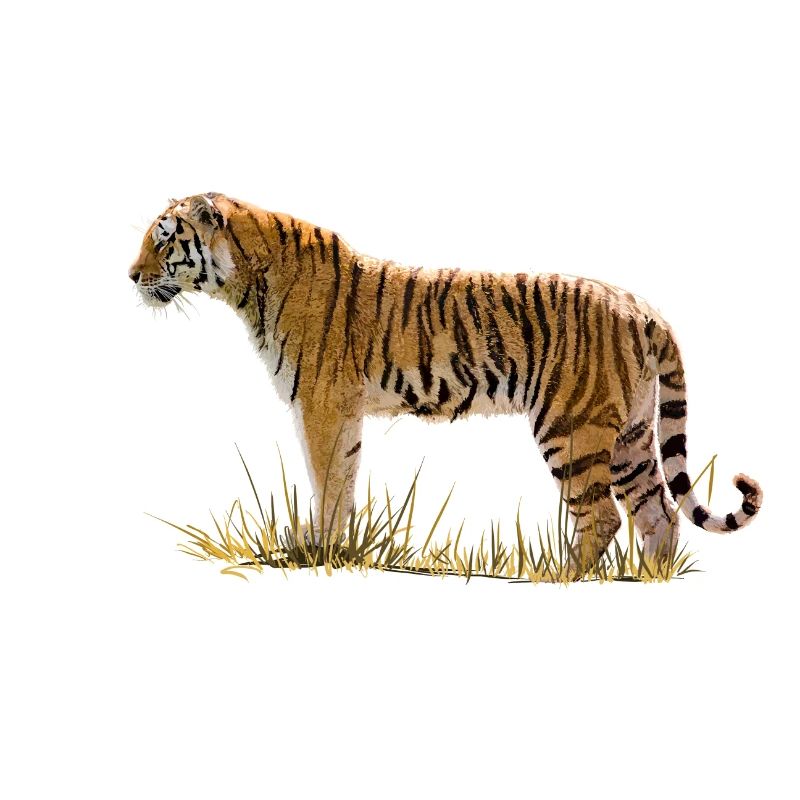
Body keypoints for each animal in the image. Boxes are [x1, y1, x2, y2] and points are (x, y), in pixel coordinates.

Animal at [129, 192, 762, 575]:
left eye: (164, 238)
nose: (131, 276)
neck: (244, 282)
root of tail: (643, 309)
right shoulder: (342, 412)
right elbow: (342, 481)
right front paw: (328, 545)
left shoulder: (321, 405)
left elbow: (327, 483)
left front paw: (318, 550)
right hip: (631, 434)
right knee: (659, 514)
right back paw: (649, 582)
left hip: (571, 428)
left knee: (603, 515)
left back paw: (558, 578)